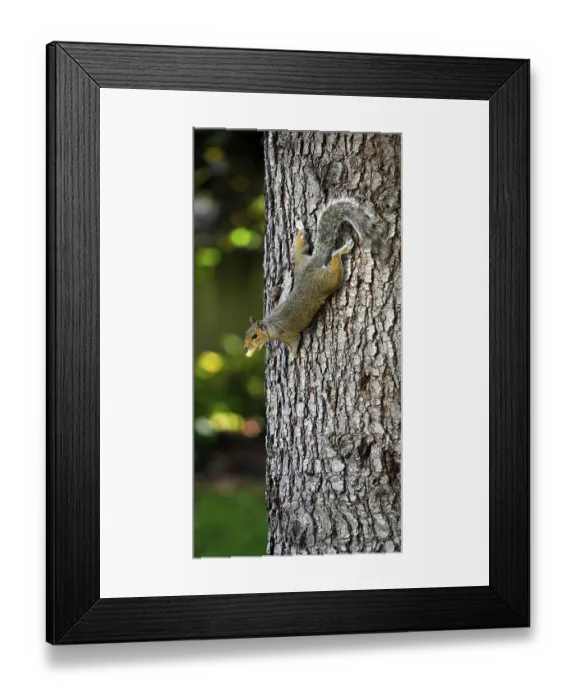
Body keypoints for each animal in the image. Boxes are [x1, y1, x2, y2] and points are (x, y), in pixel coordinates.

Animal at [244, 199, 385, 358]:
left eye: (254, 336)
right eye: (246, 334)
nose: (245, 347)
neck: (270, 325)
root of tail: (311, 267)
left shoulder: (287, 335)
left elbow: (294, 343)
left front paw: (292, 356)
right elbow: (283, 294)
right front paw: (287, 281)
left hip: (327, 281)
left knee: (335, 263)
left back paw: (343, 249)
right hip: (301, 260)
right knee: (302, 245)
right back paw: (300, 227)